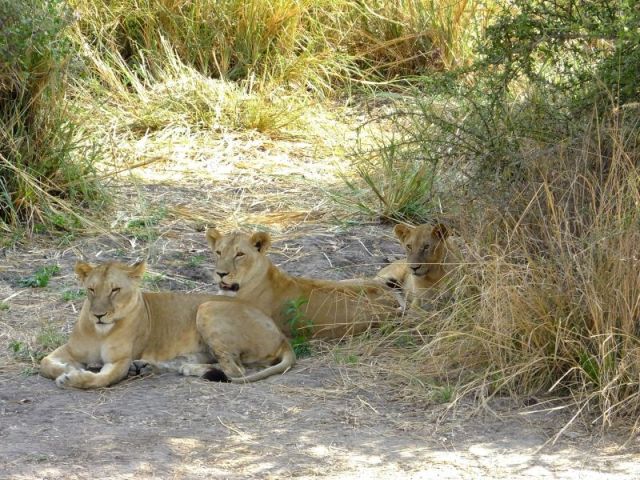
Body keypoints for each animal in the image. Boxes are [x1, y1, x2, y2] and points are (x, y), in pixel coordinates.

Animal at [40, 260, 295, 388]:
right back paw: (149, 367)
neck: (100, 331)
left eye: (115, 290)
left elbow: (103, 379)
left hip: (207, 307)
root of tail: (283, 337)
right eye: (92, 289)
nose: (99, 315)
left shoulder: (119, 360)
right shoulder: (70, 350)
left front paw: (73, 378)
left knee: (236, 370)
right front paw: (67, 369)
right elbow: (45, 364)